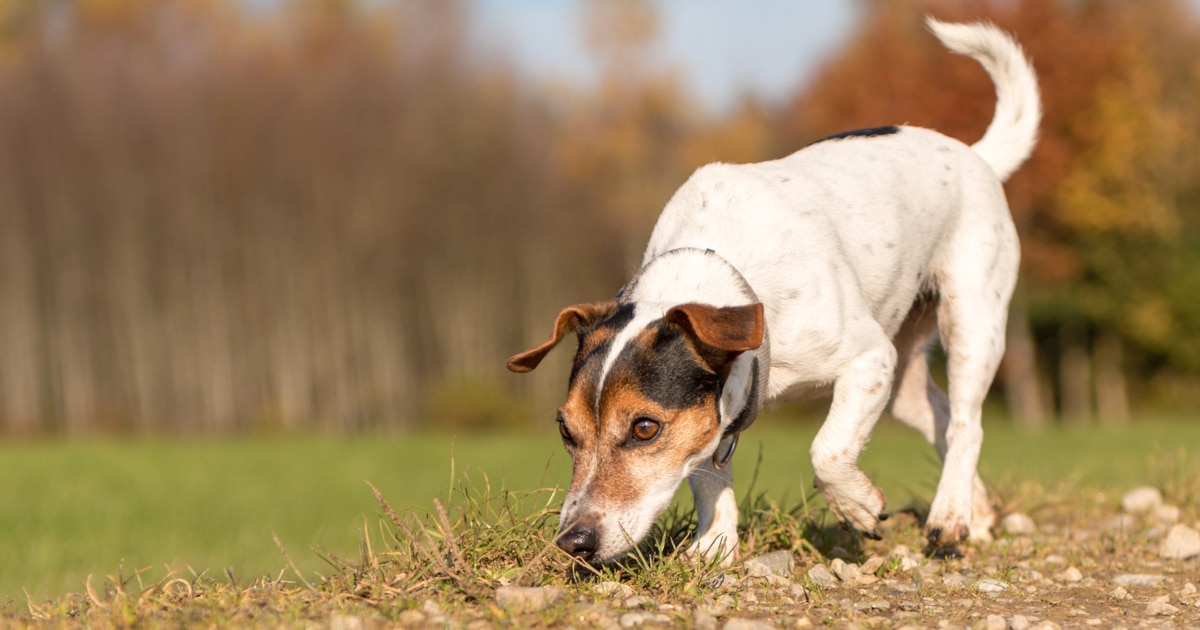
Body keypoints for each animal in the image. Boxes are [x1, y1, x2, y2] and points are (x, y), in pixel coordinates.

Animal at [506, 18, 1041, 564]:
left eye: (644, 428)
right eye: (565, 430)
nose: (573, 541)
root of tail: (975, 155)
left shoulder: (869, 359)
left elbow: (827, 449)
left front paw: (856, 506)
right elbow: (708, 474)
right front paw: (714, 549)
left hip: (970, 322)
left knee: (966, 423)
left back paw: (949, 517)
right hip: (904, 374)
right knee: (940, 415)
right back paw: (975, 513)